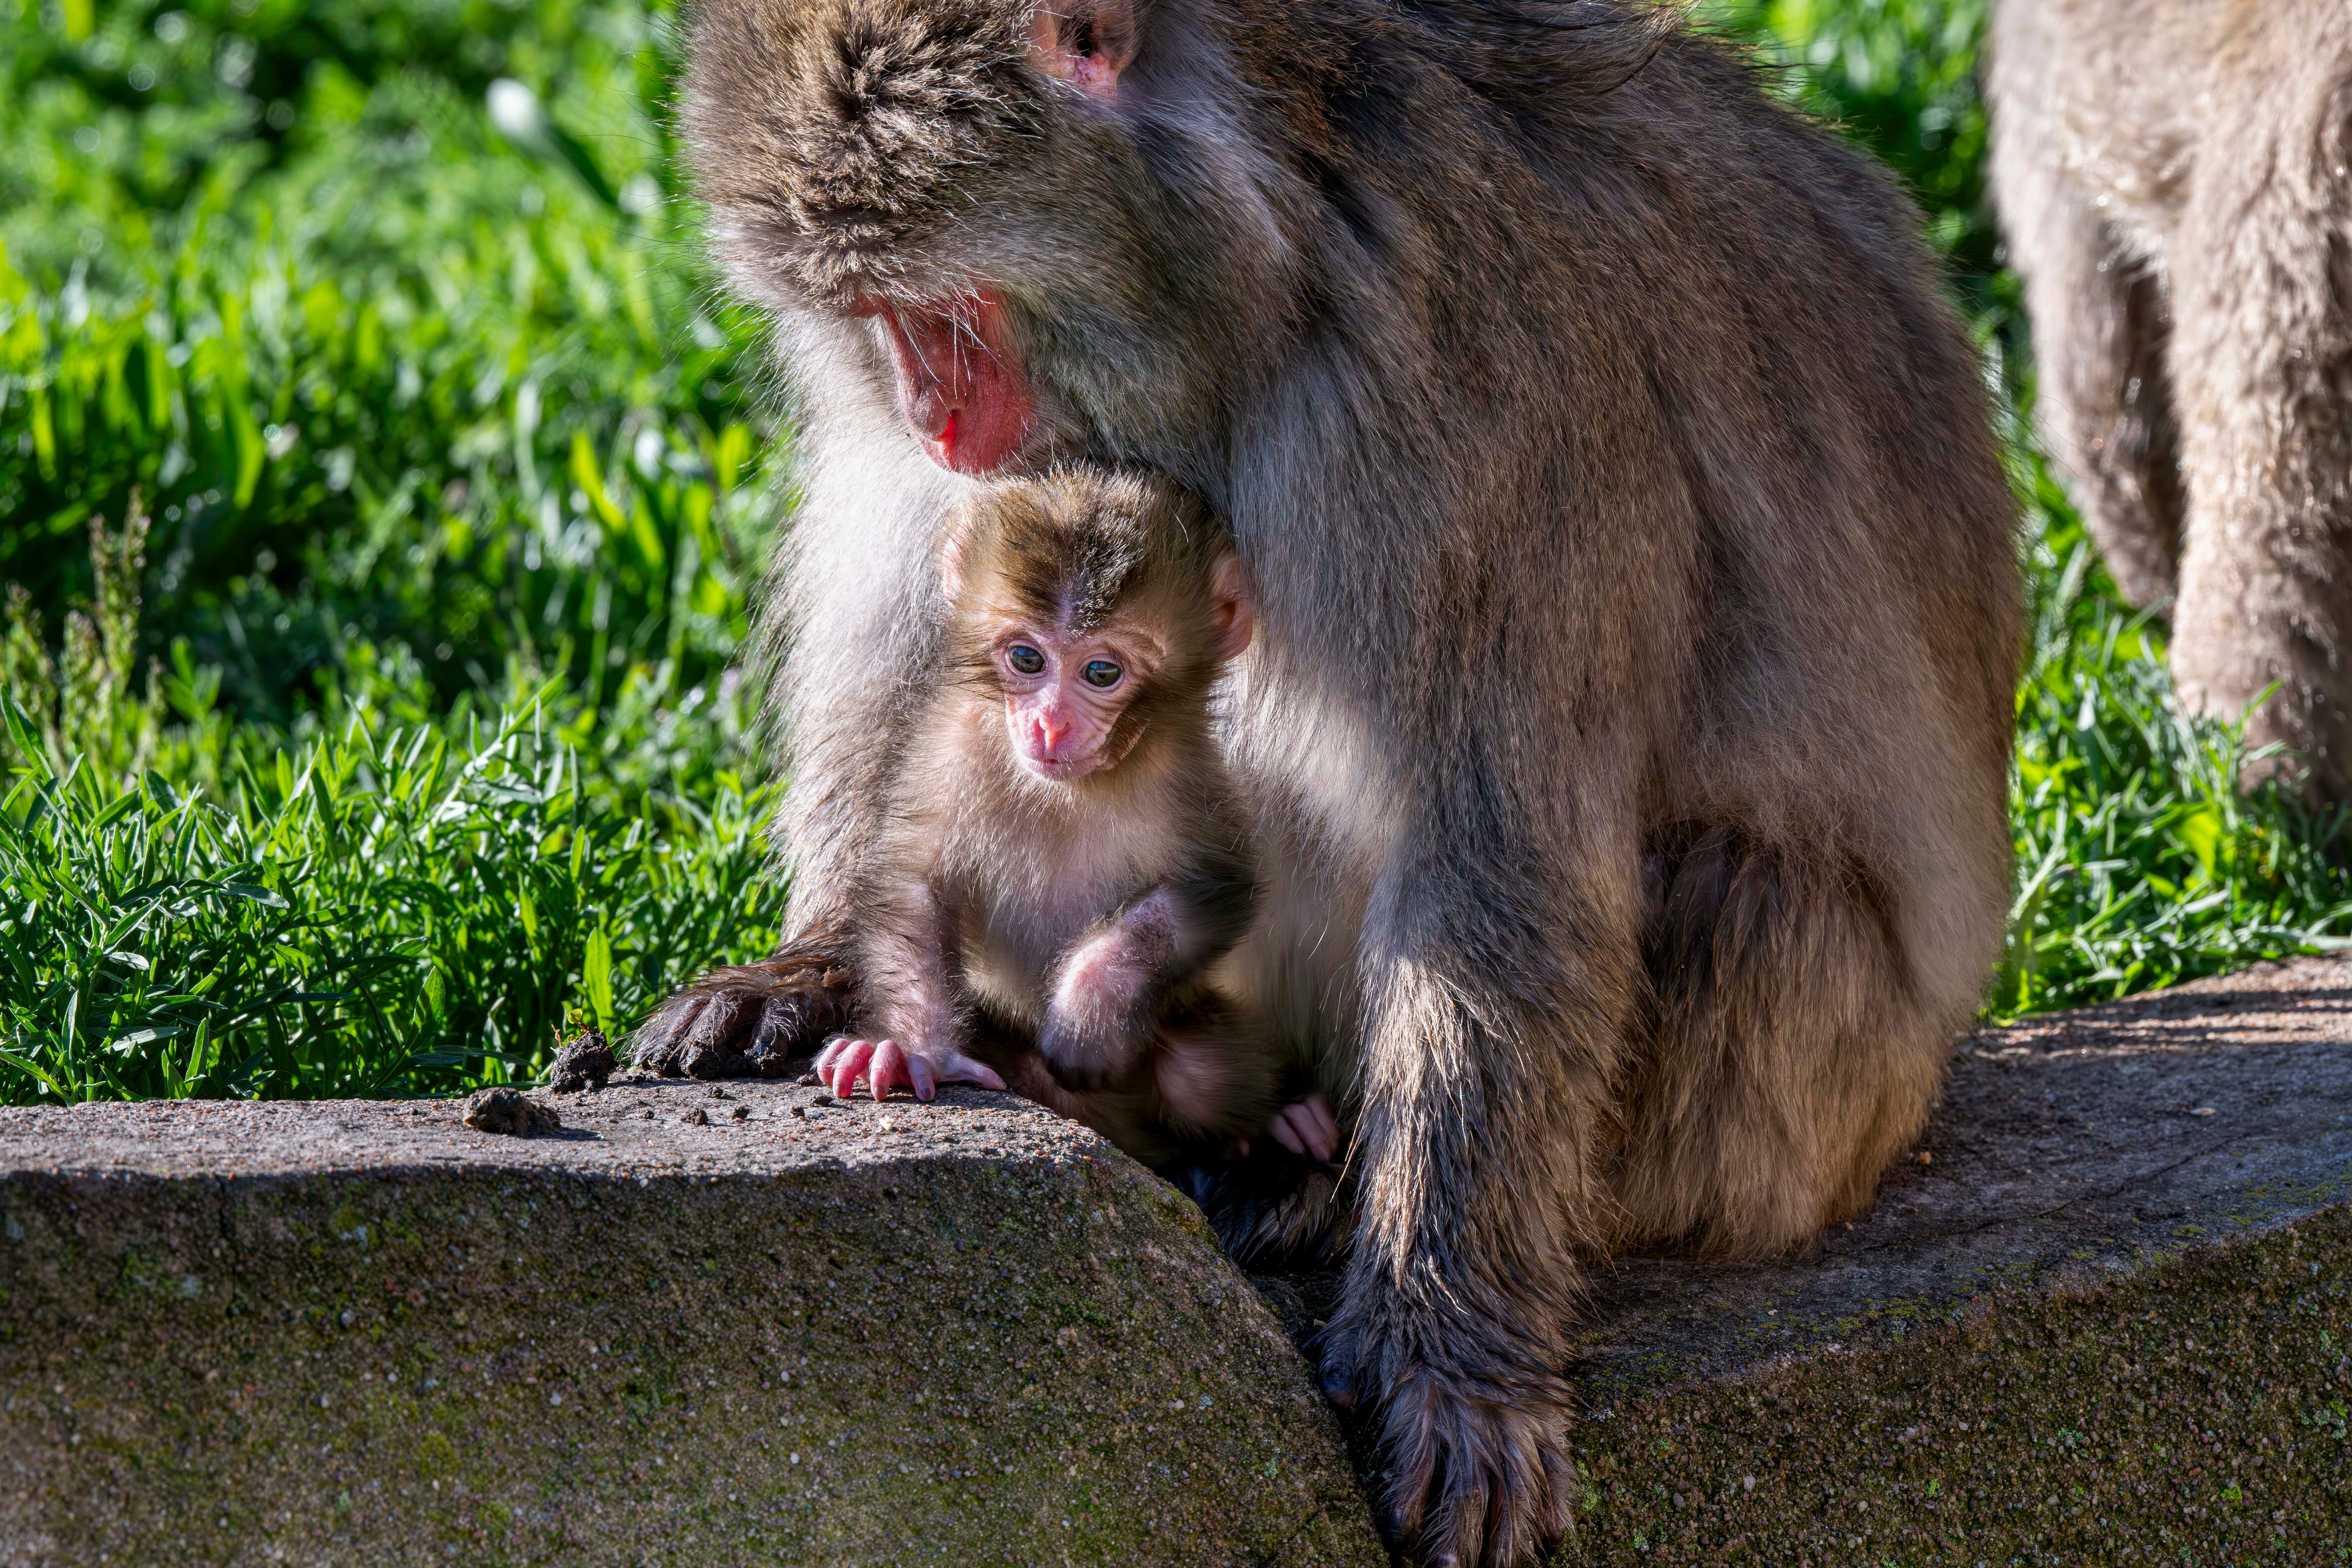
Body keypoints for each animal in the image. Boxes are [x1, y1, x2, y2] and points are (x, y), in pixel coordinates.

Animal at [644, 0, 2023, 1561]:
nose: (931, 412)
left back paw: (1301, 1171)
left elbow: (1495, 848)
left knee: (1734, 904)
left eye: (945, 310)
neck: (1281, 259)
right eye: (870, 323)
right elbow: (928, 630)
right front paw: (811, 972)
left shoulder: (1480, 407)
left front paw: (1447, 1346)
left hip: (1812, 1108)